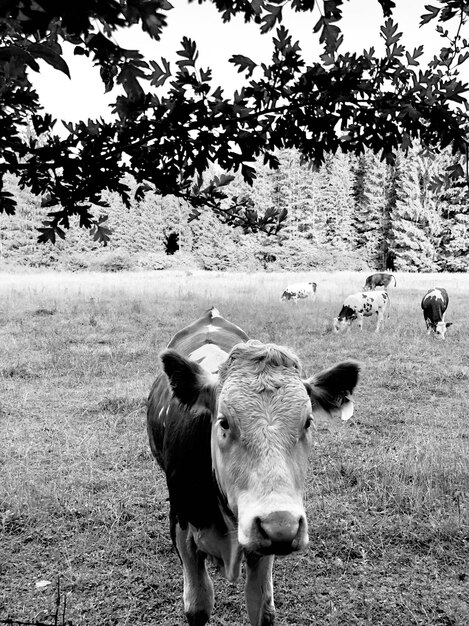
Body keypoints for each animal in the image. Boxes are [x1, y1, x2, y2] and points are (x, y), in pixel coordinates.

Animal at [146, 308, 358, 624]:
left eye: (308, 422)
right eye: (223, 422)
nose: (280, 525)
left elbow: (261, 607)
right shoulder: (183, 531)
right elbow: (198, 604)